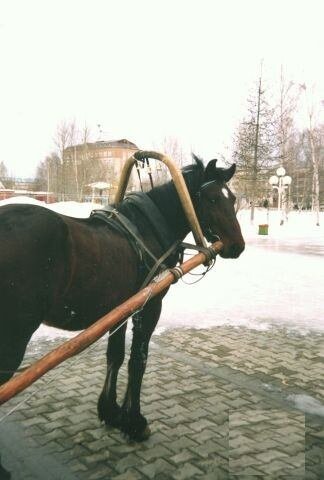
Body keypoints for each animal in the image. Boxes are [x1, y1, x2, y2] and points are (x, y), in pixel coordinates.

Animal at [0, 156, 243, 478]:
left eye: (233, 198)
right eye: (212, 198)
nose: (238, 246)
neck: (146, 231)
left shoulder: (120, 309)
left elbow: (114, 355)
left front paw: (111, 411)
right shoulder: (149, 306)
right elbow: (138, 360)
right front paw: (134, 421)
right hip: (13, 336)